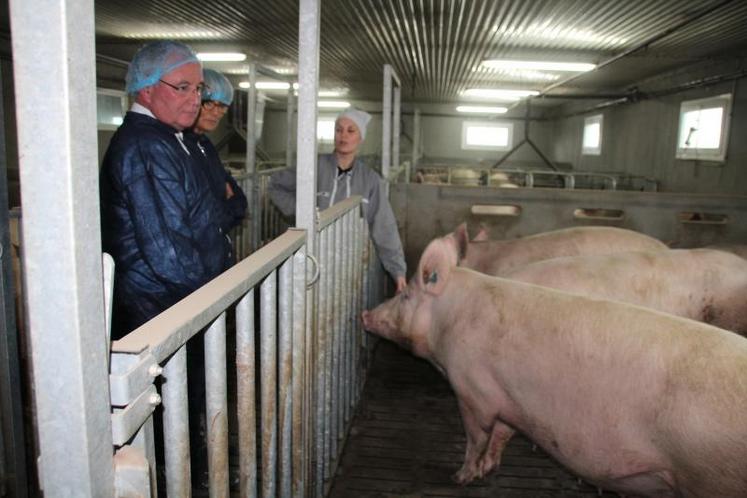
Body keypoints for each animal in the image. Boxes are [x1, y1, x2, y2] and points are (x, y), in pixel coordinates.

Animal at [362, 235, 747, 496]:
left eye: (405, 296)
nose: (364, 314)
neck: (451, 321)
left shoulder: (472, 389)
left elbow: (477, 435)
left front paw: (460, 477)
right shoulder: (509, 397)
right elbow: (503, 433)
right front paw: (490, 467)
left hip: (709, 478)